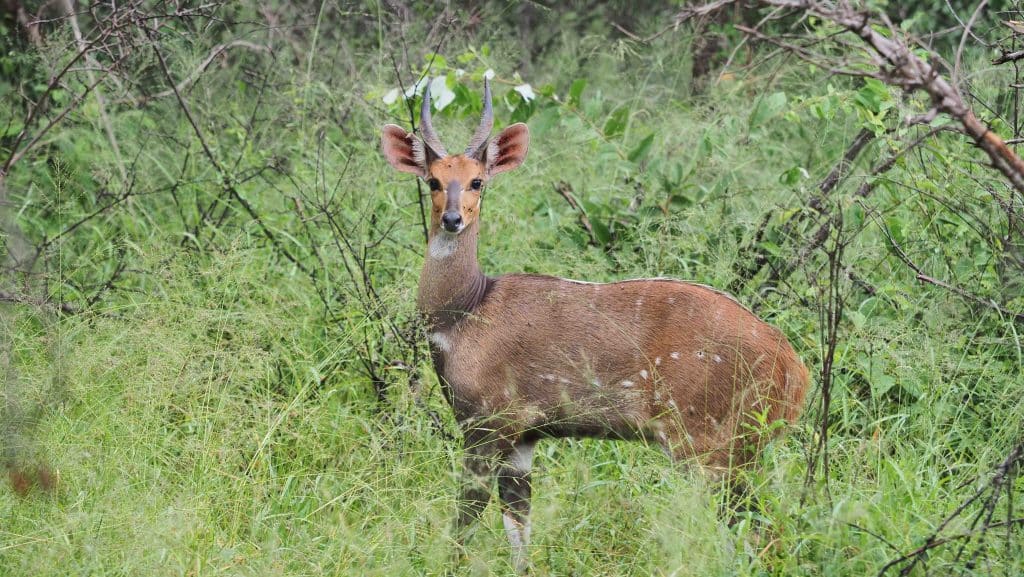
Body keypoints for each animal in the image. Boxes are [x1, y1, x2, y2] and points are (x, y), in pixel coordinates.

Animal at [380, 78, 811, 569]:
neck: (465, 313)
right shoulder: (524, 438)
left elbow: (463, 524)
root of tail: (796, 372)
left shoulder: (488, 422)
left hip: (708, 444)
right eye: (433, 180)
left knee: (758, 529)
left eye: (477, 181)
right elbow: (519, 529)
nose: (452, 219)